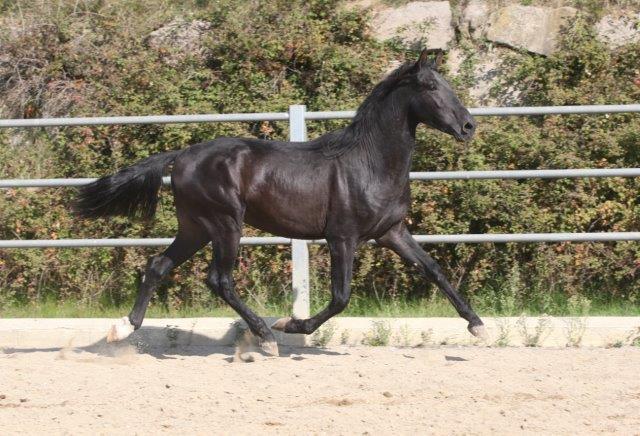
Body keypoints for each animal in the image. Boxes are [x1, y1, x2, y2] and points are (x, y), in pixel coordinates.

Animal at [75, 49, 487, 355]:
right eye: (431, 86)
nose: (468, 126)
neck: (369, 163)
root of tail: (183, 155)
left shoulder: (391, 232)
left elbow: (433, 270)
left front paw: (478, 325)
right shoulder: (342, 237)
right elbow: (341, 297)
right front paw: (291, 324)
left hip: (195, 227)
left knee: (158, 266)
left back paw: (123, 328)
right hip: (224, 224)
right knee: (219, 279)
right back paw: (266, 336)